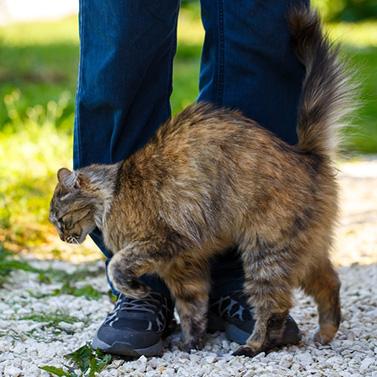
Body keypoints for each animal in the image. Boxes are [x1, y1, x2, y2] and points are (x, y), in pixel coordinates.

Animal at [49, 7, 352, 356]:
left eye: (59, 219)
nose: (62, 238)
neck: (113, 192)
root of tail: (304, 153)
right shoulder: (184, 266)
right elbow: (192, 308)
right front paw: (191, 342)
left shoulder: (163, 242)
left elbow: (118, 266)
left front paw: (139, 291)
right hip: (302, 251)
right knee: (329, 282)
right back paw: (325, 333)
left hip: (266, 251)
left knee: (274, 306)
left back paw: (255, 345)